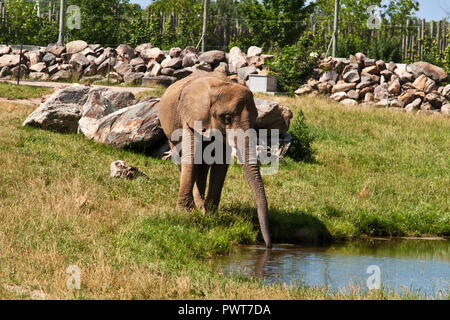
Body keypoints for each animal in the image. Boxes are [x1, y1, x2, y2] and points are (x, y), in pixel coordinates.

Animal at [156, 71, 272, 249]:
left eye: (256, 119)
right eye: (227, 118)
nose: (268, 246)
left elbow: (221, 162)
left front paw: (210, 215)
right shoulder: (190, 117)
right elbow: (191, 156)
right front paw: (185, 215)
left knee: (203, 165)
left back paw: (200, 205)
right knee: (182, 158)